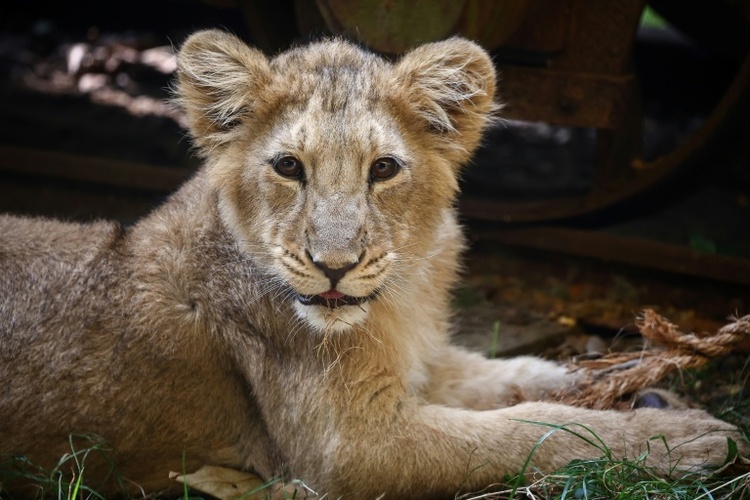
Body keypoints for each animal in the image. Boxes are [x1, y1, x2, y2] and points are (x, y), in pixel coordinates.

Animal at [0, 30, 744, 498]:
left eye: (383, 169)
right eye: (288, 167)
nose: (334, 265)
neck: (398, 299)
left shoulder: (415, 361)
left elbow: (506, 377)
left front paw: (622, 380)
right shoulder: (349, 449)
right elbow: (525, 433)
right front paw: (679, 436)